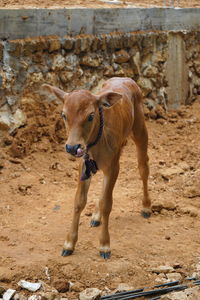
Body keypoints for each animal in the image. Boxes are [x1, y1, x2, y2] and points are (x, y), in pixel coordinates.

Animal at [43, 77, 151, 258]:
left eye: (91, 116)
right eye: (63, 115)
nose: (72, 147)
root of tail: (125, 79)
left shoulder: (113, 165)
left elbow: (108, 203)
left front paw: (104, 245)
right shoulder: (84, 165)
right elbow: (79, 201)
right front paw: (69, 243)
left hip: (140, 129)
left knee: (143, 168)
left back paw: (146, 206)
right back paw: (96, 216)